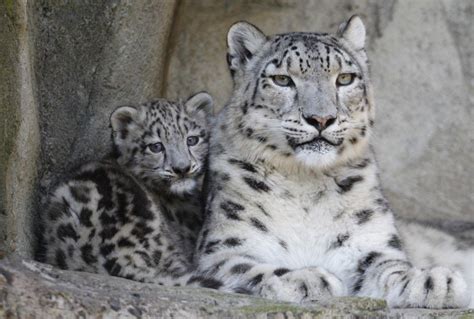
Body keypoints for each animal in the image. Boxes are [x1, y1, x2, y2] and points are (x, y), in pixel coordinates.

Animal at [195, 16, 470, 308]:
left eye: (345, 78)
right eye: (282, 79)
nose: (321, 119)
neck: (304, 182)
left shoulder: (370, 243)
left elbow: (389, 267)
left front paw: (431, 281)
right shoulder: (224, 248)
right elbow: (246, 268)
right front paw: (305, 279)